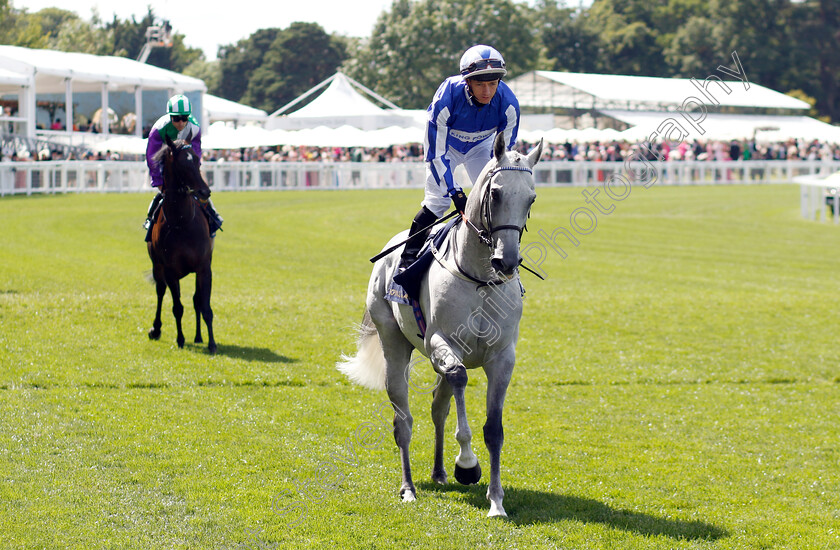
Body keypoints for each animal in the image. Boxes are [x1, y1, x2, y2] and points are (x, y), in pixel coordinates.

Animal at [149, 136, 218, 356]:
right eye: (182, 164)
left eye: (197, 161)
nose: (205, 191)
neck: (182, 222)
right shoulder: (170, 271)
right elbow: (177, 307)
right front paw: (180, 339)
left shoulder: (204, 267)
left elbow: (205, 306)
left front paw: (212, 343)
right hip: (157, 267)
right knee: (160, 292)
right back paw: (156, 329)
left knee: (196, 300)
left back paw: (198, 336)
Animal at [338, 134, 540, 516]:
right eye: (495, 194)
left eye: (531, 198)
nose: (506, 261)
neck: (479, 278)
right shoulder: (441, 343)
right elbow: (459, 378)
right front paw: (468, 463)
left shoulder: (502, 356)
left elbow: (494, 429)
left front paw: (496, 501)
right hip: (393, 343)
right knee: (402, 419)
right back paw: (409, 487)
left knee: (437, 406)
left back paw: (439, 471)